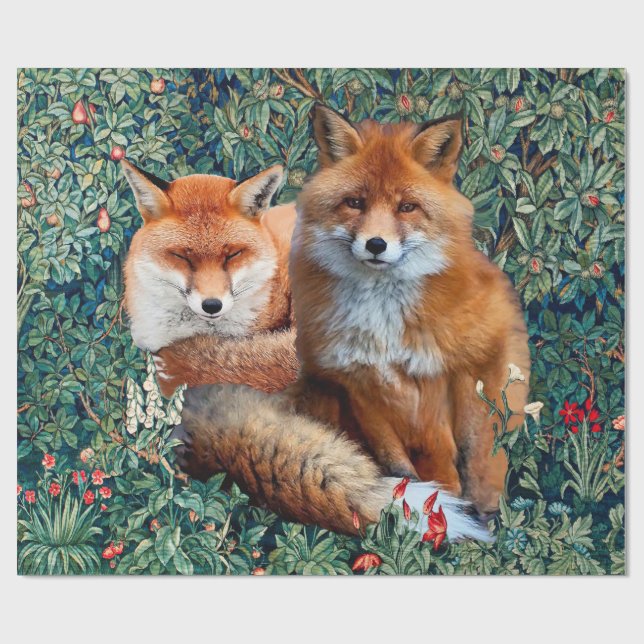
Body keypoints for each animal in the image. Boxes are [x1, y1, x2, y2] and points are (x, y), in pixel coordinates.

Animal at [171, 104, 530, 542]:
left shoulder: (459, 369)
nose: (376, 244)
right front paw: (419, 508)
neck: (385, 323)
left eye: (407, 207)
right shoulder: (355, 382)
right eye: (355, 202)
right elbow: (399, 464)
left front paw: (466, 509)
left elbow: (464, 455)